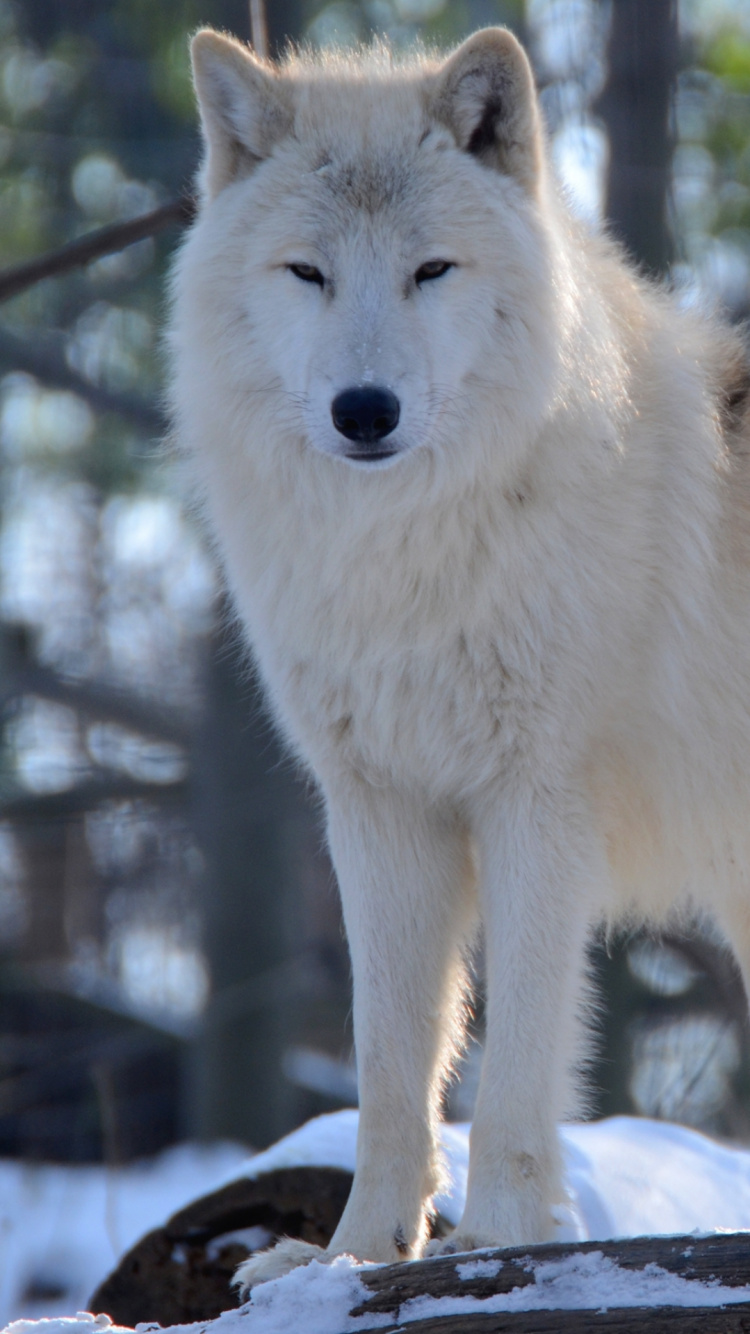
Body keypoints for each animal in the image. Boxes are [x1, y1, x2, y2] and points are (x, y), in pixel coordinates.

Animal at [167, 23, 750, 1287]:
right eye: (307, 273)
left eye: (432, 270)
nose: (365, 409)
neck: (412, 558)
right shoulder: (380, 809)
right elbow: (392, 1065)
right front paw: (350, 1253)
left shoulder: (537, 801)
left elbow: (518, 1057)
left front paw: (505, 1235)